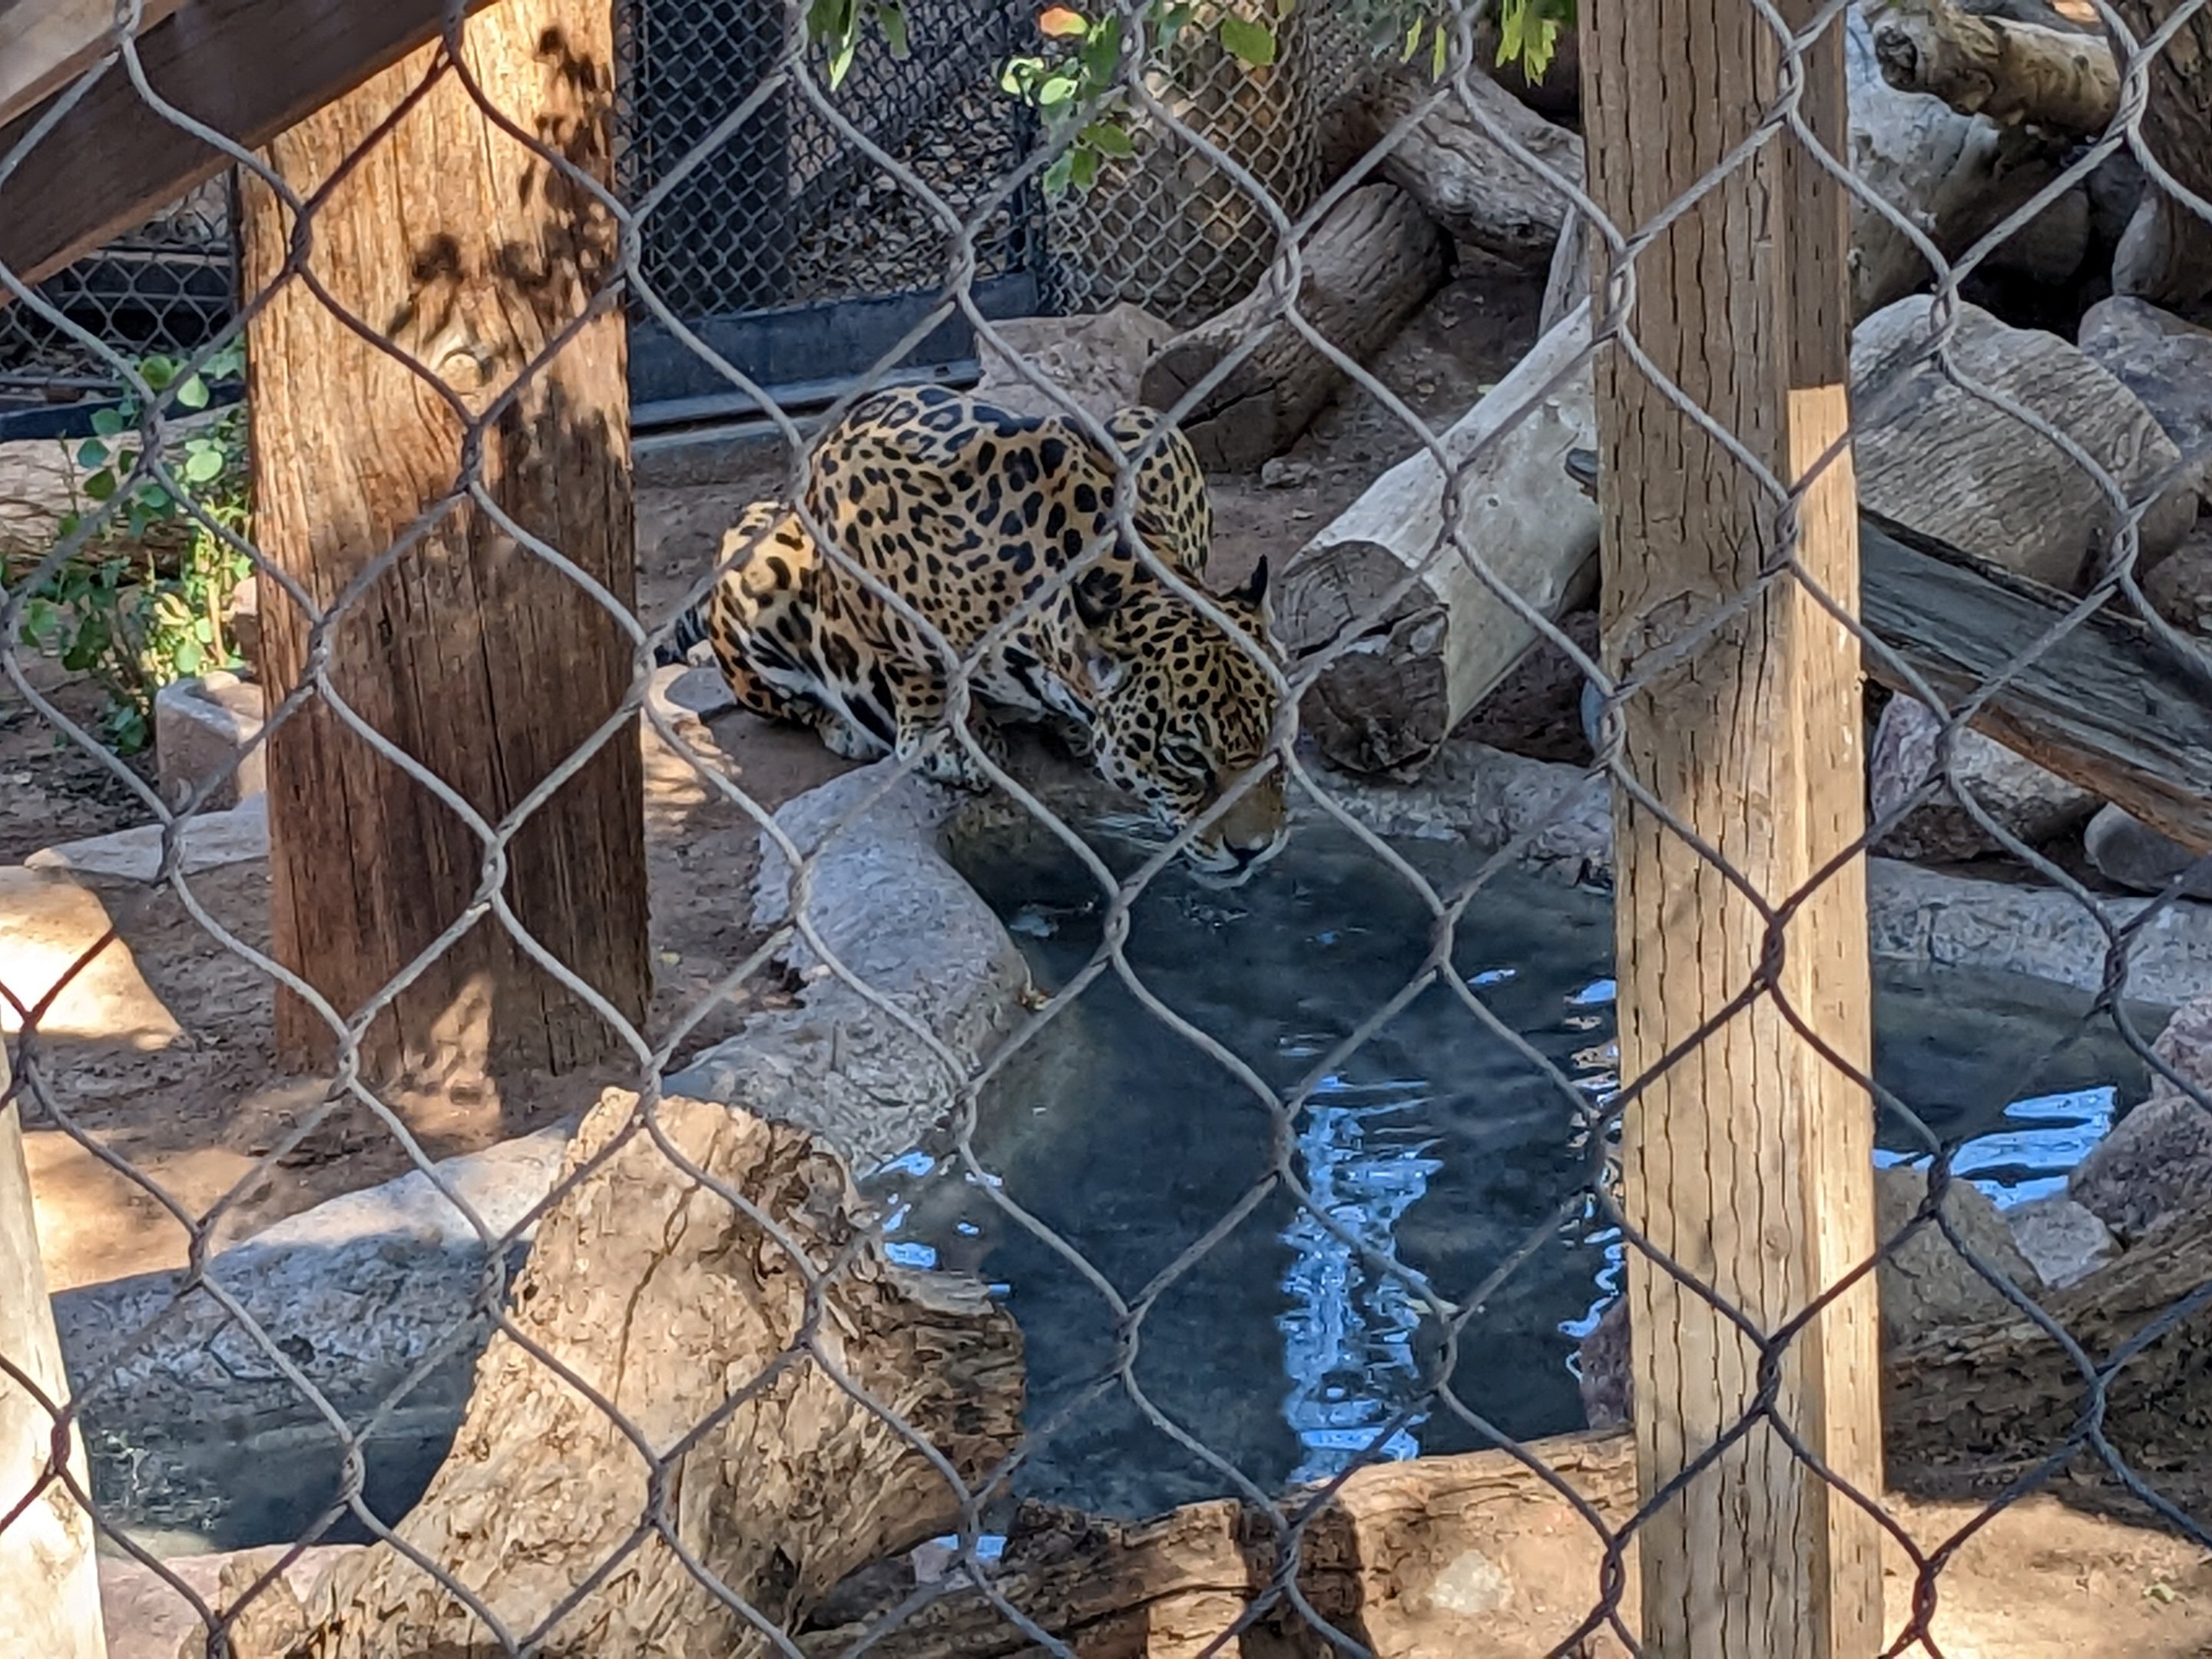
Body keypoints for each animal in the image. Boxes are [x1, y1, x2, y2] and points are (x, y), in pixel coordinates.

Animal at [660, 383, 1288, 885]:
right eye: (1185, 757)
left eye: (1276, 741)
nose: (1255, 851)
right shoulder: (852, 489)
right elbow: (903, 651)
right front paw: (948, 737)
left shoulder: (1160, 447)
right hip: (759, 565)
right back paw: (845, 726)